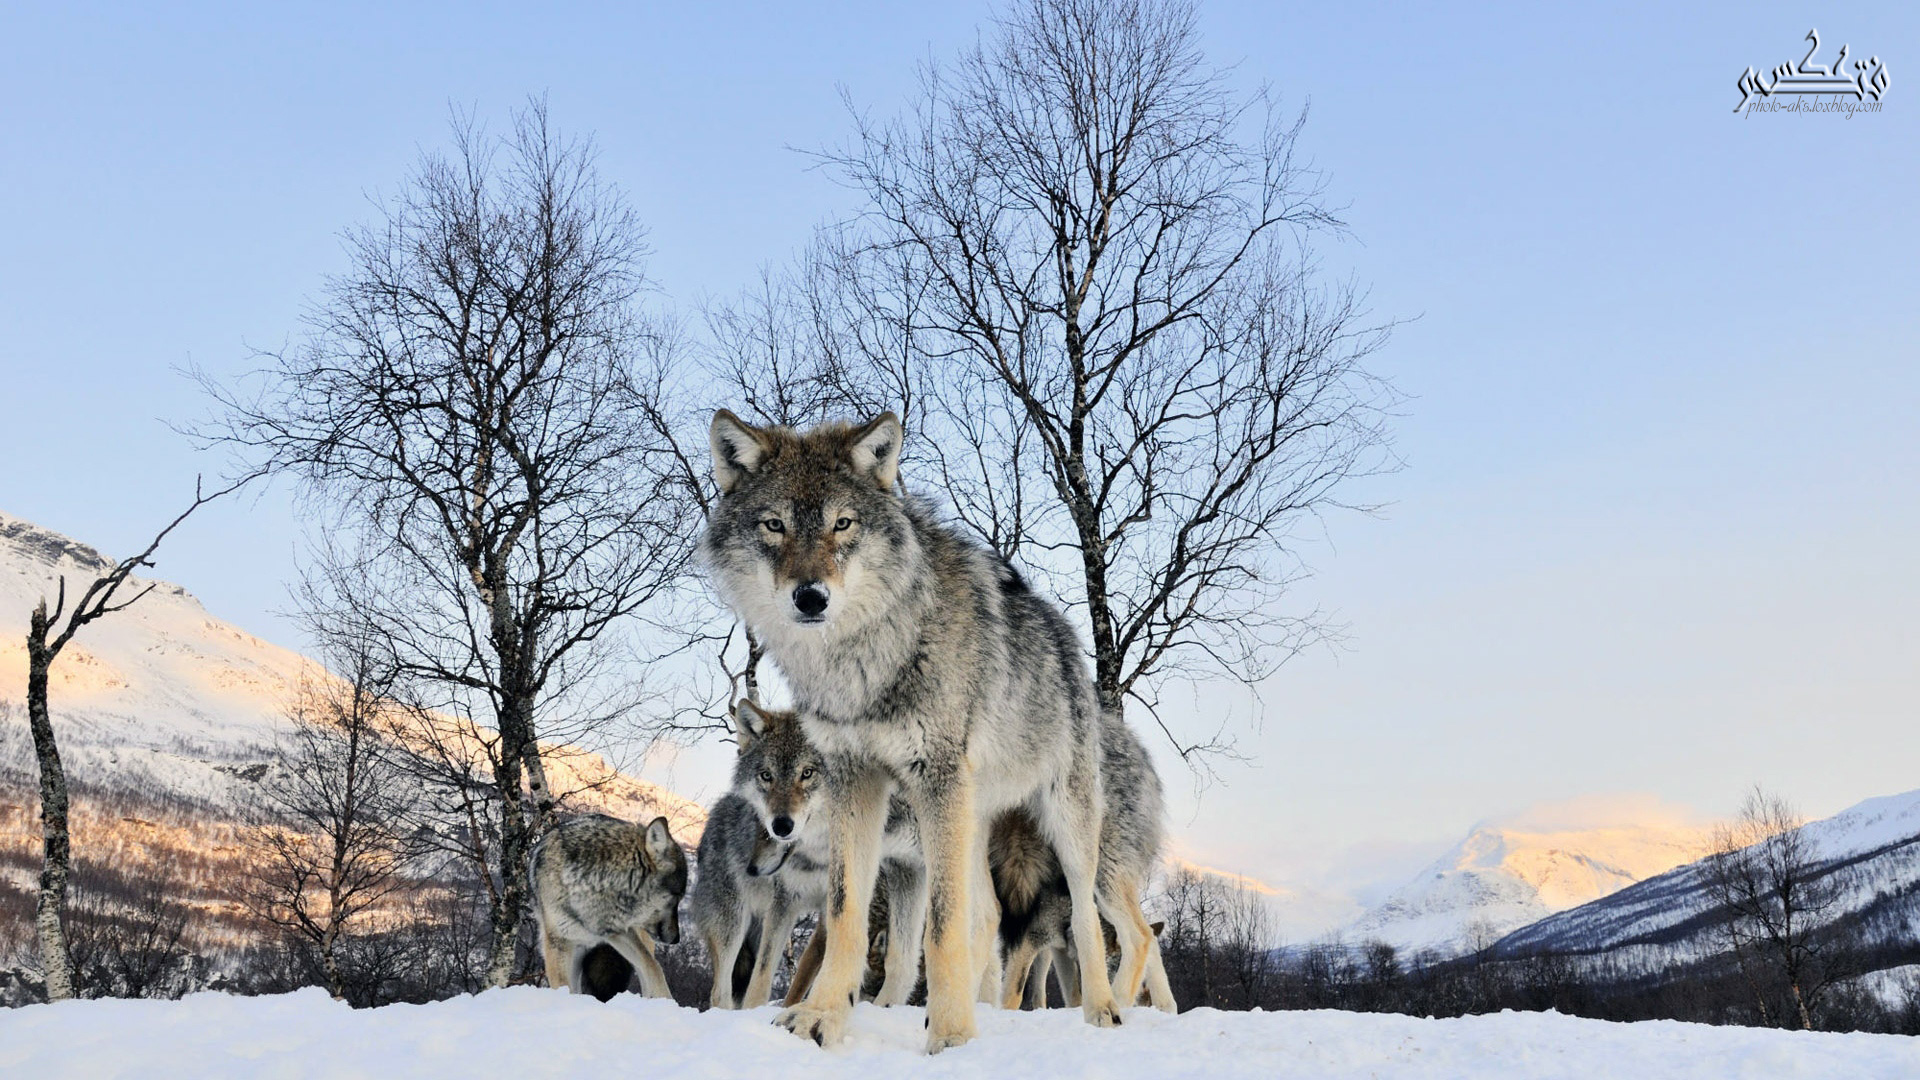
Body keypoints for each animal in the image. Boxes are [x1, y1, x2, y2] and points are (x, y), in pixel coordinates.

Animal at [533, 807, 691, 991]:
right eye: (677, 898)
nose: (676, 939)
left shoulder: (620, 932)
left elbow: (654, 968)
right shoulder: (558, 944)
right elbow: (564, 987)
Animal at [706, 407, 1121, 1045]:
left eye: (843, 524)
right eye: (774, 525)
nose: (810, 597)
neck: (863, 661)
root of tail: (1065, 634)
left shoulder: (934, 779)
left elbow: (941, 927)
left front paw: (951, 1036)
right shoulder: (855, 779)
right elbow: (846, 914)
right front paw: (821, 1017)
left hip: (1061, 824)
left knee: (1081, 918)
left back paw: (1100, 1011)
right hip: (968, 822)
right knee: (989, 915)